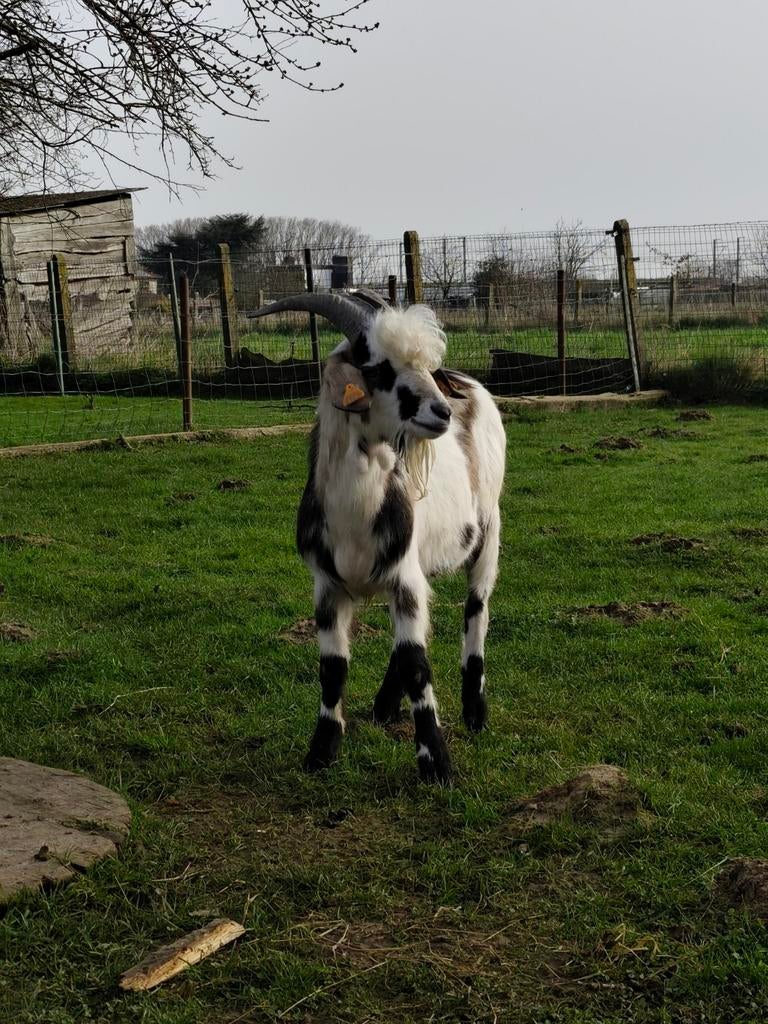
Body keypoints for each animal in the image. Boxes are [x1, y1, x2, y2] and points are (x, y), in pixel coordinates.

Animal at [249, 289, 506, 783]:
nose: (441, 412)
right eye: (379, 369)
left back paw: (474, 713)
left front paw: (435, 763)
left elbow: (417, 665)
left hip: (489, 528)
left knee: (476, 610)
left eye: (423, 366)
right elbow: (334, 668)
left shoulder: (404, 577)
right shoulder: (329, 586)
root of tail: (469, 382)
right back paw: (386, 706)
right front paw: (321, 752)